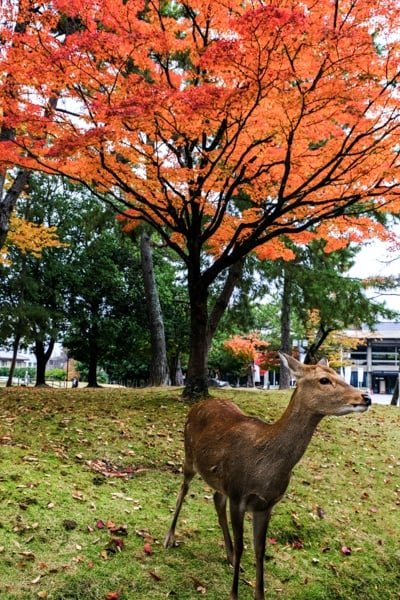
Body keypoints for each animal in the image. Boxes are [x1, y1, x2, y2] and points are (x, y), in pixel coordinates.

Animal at [164, 352, 370, 600]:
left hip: (220, 480)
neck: (264, 467)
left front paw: (258, 593)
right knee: (182, 491)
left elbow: (260, 549)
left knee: (216, 499)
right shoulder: (238, 495)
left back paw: (229, 556)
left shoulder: (266, 504)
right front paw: (233, 594)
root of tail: (199, 403)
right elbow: (243, 546)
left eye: (340, 374)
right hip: (188, 455)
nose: (366, 397)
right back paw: (169, 538)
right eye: (324, 380)